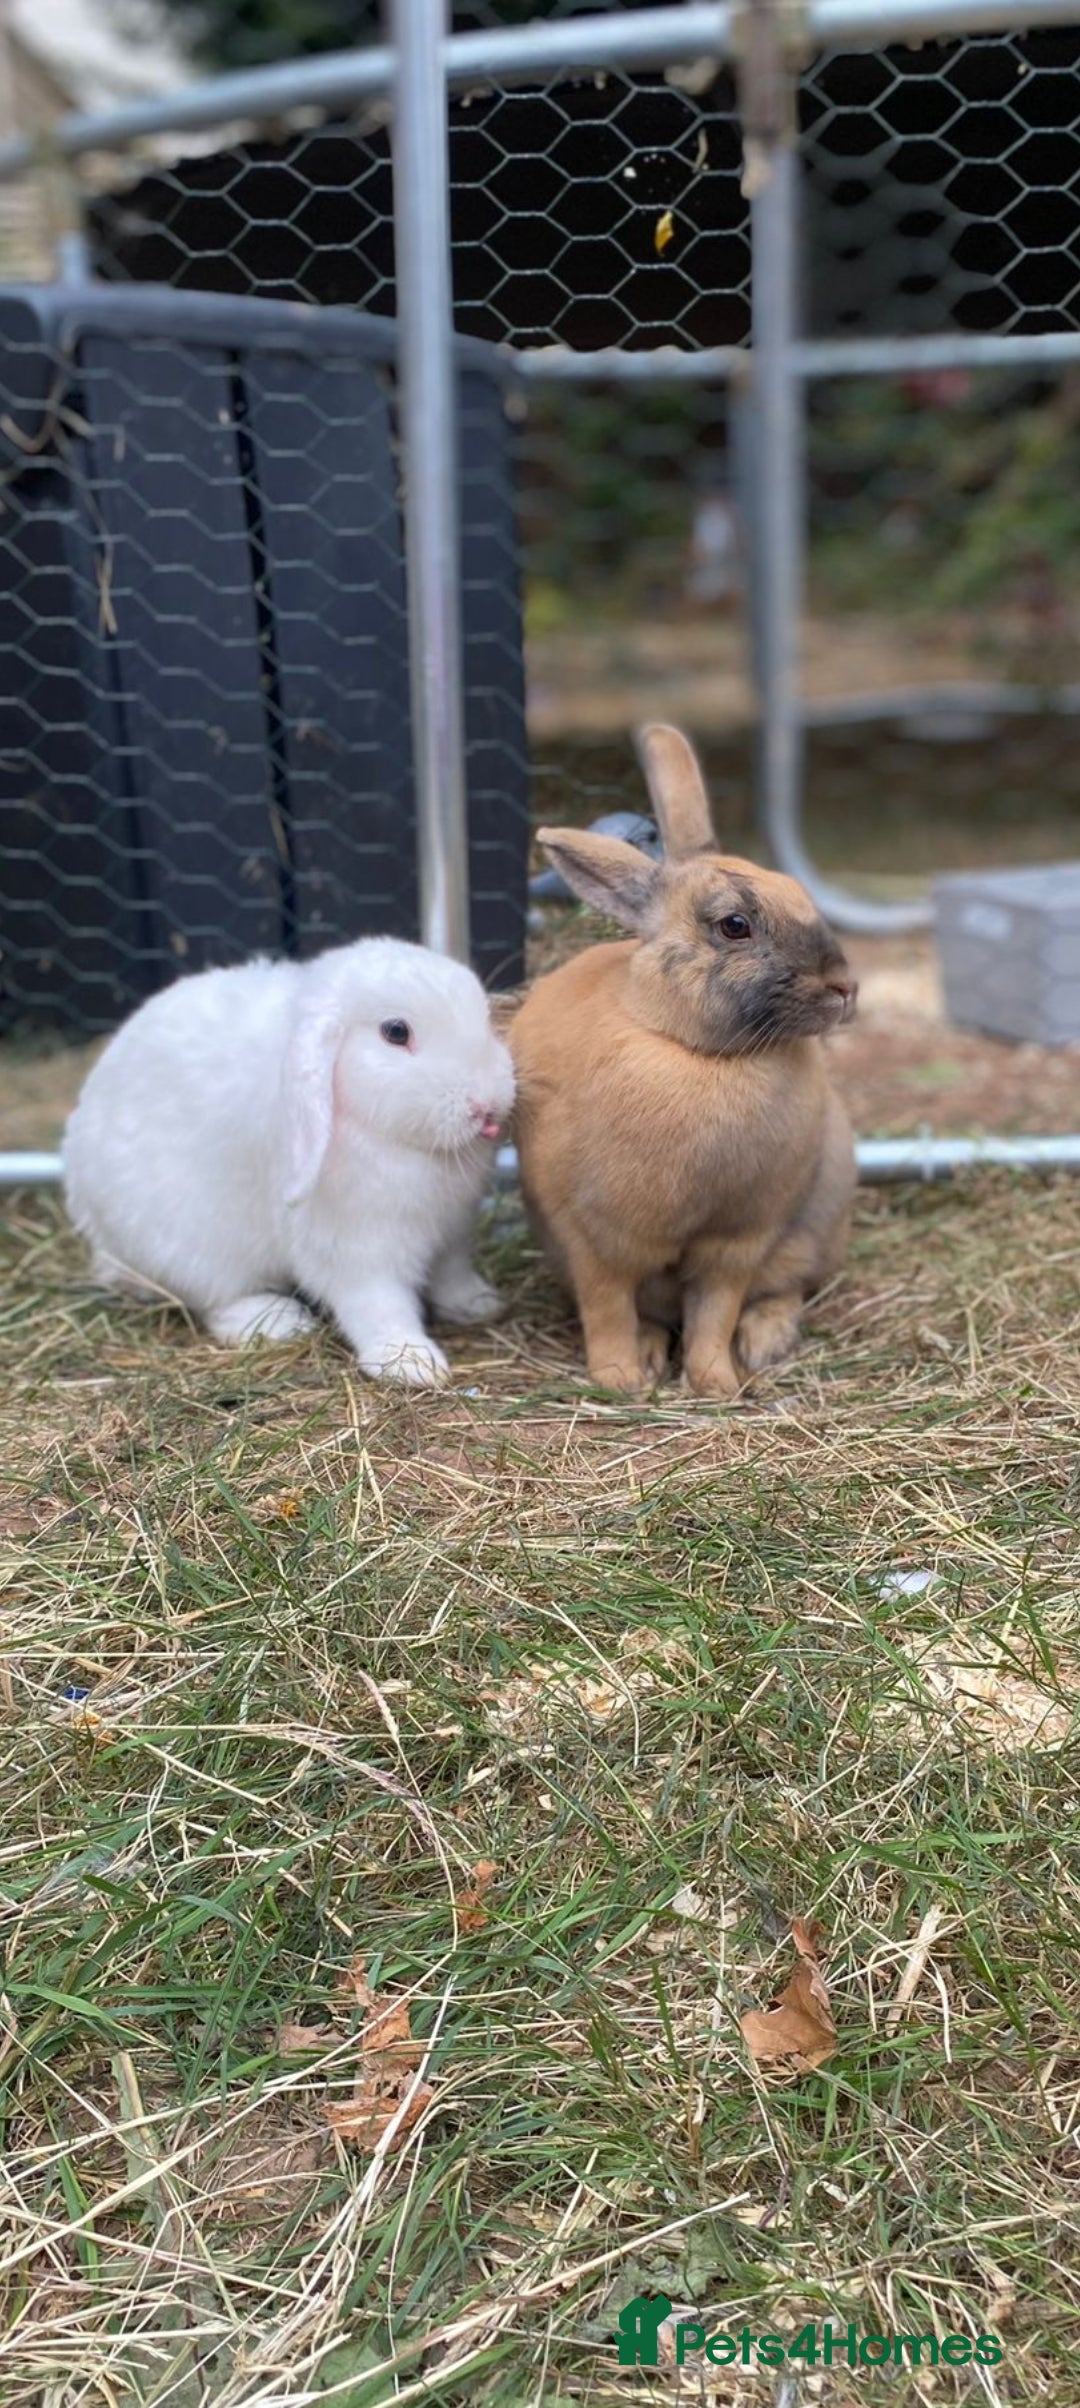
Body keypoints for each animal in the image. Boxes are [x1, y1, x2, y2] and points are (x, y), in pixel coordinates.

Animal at [63, 936, 515, 1388]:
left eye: (485, 1016)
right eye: (396, 1032)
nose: (485, 1105)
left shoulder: (452, 1232)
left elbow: (451, 1274)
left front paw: (478, 1303)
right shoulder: (357, 1251)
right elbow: (379, 1304)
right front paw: (410, 1362)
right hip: (192, 1251)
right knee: (213, 1301)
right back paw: (278, 1320)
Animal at [510, 724, 857, 1399]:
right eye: (735, 925)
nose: (844, 988)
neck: (700, 1055)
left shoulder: (737, 1243)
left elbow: (714, 1314)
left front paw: (717, 1384)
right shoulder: (597, 1243)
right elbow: (607, 1310)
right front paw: (619, 1380)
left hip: (809, 1233)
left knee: (781, 1292)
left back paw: (765, 1342)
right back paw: (649, 1356)